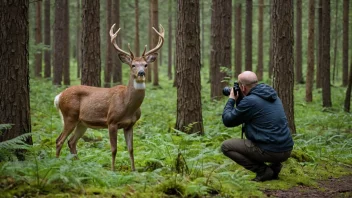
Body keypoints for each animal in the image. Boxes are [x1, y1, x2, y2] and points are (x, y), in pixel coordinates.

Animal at [54, 23, 164, 171]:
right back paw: (56, 163)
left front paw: (134, 170)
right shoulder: (111, 121)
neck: (127, 105)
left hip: (81, 123)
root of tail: (59, 97)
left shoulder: (130, 124)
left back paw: (78, 165)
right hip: (69, 116)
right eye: (133, 65)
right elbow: (114, 149)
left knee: (71, 142)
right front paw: (112, 170)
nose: (141, 73)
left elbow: (131, 149)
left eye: (146, 65)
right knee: (59, 140)